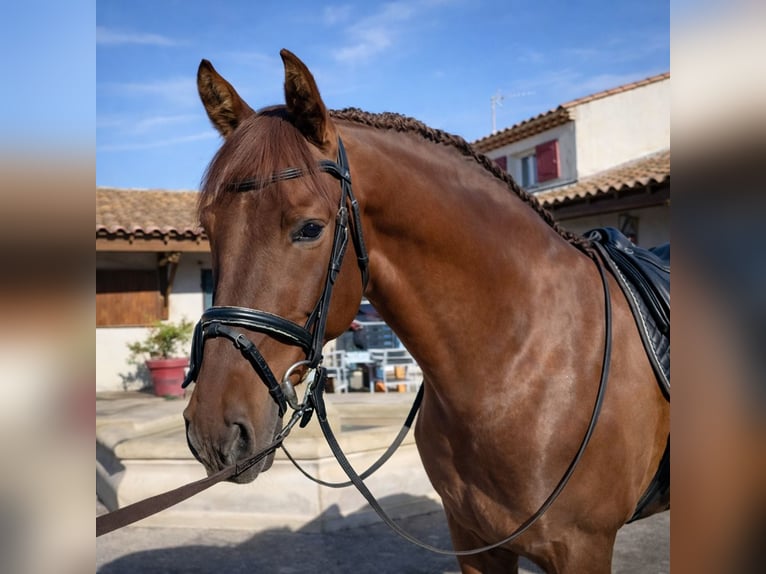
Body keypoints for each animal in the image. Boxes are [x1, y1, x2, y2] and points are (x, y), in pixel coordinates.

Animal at [182, 49, 670, 573]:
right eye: (209, 226)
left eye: (310, 228)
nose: (213, 431)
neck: (524, 362)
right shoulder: (475, 539)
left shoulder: (582, 548)